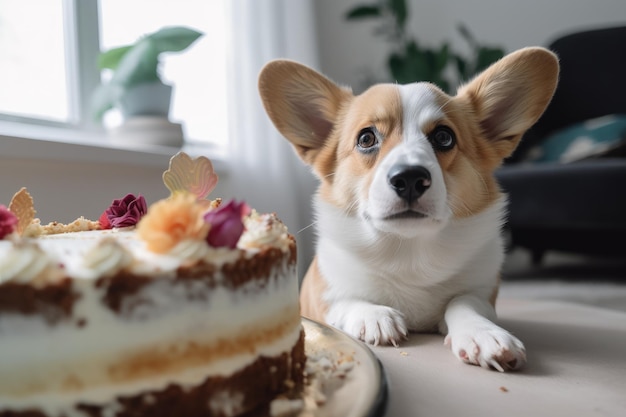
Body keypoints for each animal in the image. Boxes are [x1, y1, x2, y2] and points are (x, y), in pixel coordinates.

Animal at [258, 48, 556, 370]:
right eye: (366, 138)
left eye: (443, 137)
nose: (410, 179)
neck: (408, 251)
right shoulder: (322, 297)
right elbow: (347, 301)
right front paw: (374, 316)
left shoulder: (482, 292)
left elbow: (463, 302)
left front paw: (483, 334)